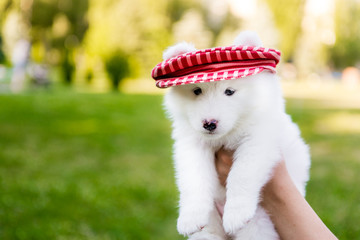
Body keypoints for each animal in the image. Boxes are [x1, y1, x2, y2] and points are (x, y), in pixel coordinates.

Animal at [160, 31, 310, 239]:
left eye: (229, 91)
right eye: (197, 91)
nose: (209, 123)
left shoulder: (258, 140)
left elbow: (241, 174)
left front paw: (236, 214)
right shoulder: (191, 144)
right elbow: (194, 178)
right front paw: (190, 217)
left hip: (259, 222)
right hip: (211, 225)